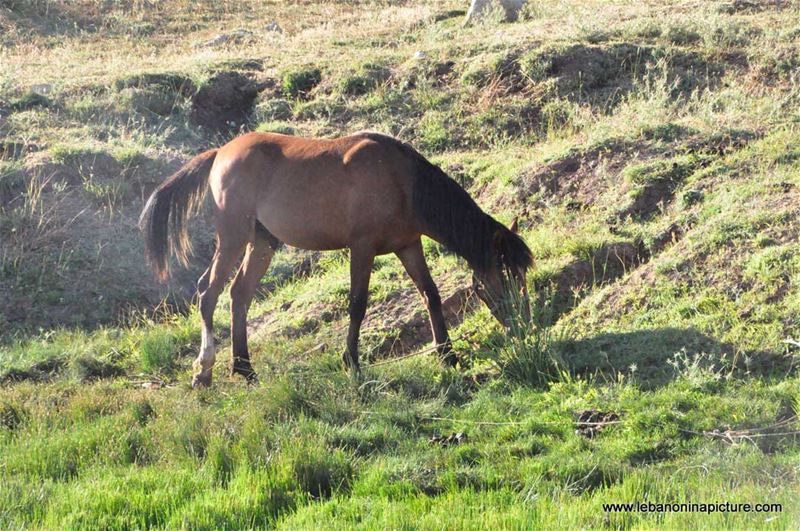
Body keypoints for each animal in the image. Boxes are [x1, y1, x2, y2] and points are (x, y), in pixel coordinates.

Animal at [141, 131, 536, 388]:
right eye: (507, 276)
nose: (525, 327)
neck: (402, 181)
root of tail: (221, 152)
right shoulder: (362, 248)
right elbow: (357, 304)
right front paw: (352, 364)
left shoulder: (409, 245)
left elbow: (431, 295)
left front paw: (448, 355)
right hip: (234, 238)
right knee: (208, 294)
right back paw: (203, 371)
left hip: (262, 243)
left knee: (240, 295)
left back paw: (245, 368)